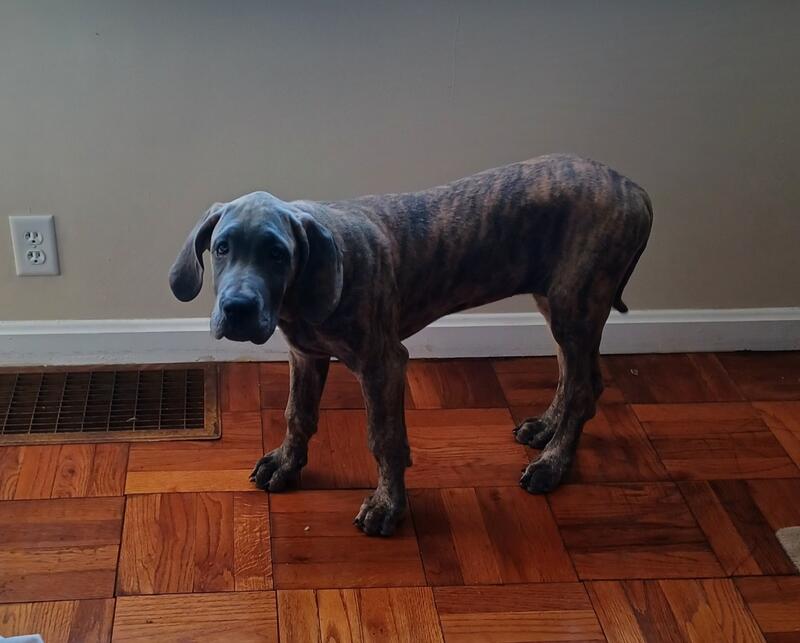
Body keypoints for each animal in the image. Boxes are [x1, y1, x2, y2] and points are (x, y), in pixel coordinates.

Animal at [169, 154, 652, 536]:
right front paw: (286, 464)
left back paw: (553, 464)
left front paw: (387, 506)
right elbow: (297, 414)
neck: (301, 295)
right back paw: (546, 429)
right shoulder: (306, 355)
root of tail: (635, 189)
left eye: (277, 254)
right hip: (557, 302)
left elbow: (384, 438)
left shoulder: (383, 365)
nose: (238, 309)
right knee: (573, 376)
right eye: (221, 248)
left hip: (576, 304)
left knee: (583, 387)